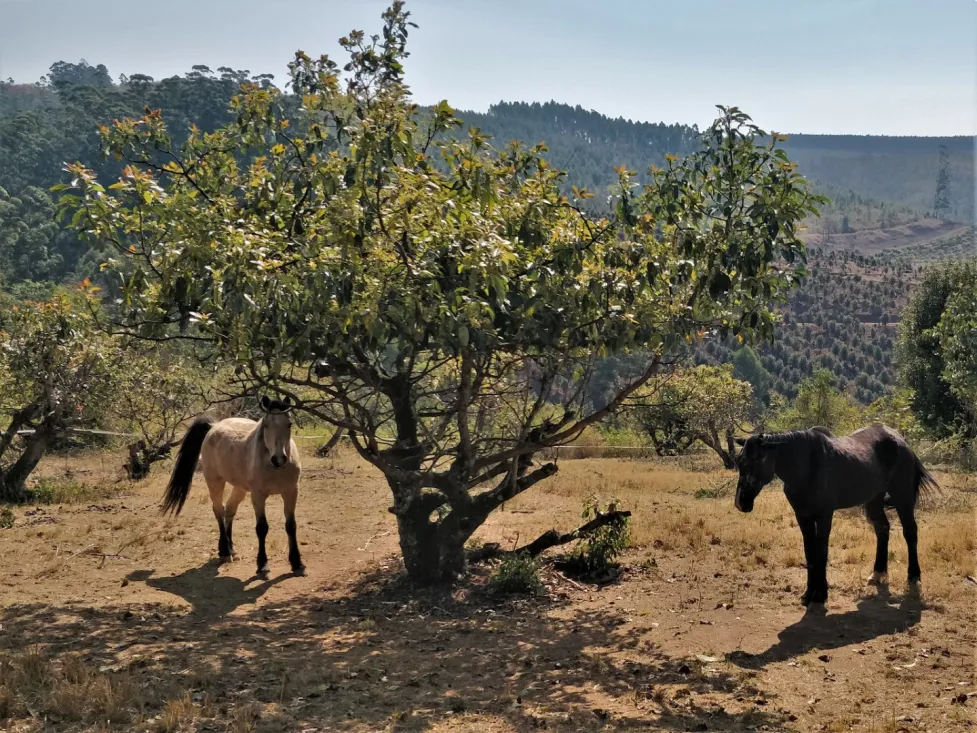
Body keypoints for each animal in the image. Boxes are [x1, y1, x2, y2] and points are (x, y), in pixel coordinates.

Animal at [162, 398, 304, 576]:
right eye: (266, 425)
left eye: (289, 424)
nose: (279, 459)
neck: (273, 468)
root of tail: (214, 426)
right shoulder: (258, 496)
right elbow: (262, 528)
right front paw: (262, 564)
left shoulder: (291, 492)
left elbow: (291, 526)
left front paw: (297, 563)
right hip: (215, 481)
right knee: (218, 510)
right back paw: (224, 551)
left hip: (240, 488)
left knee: (229, 509)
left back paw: (231, 549)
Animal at [736, 424, 936, 608]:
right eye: (739, 461)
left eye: (759, 459)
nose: (741, 502)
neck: (807, 466)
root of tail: (901, 441)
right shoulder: (803, 515)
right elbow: (810, 552)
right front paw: (808, 593)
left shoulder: (824, 515)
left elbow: (822, 551)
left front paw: (820, 594)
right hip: (873, 501)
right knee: (883, 529)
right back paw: (878, 572)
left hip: (902, 497)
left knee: (910, 532)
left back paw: (913, 577)